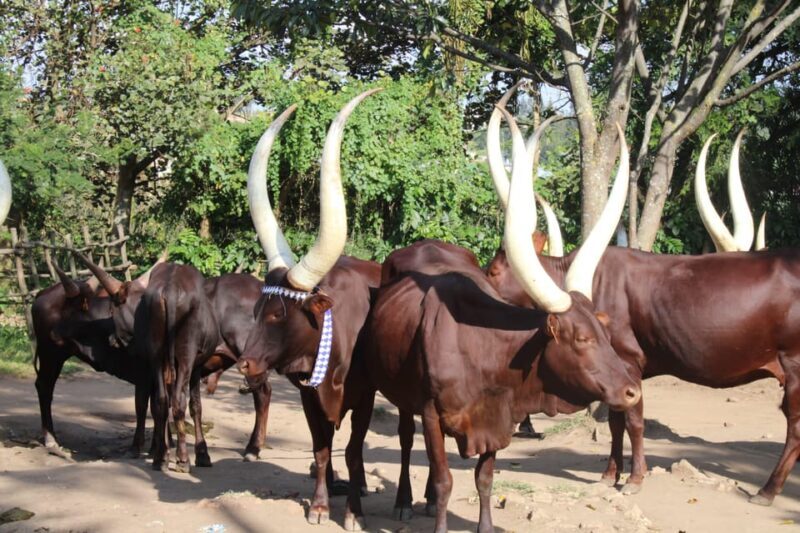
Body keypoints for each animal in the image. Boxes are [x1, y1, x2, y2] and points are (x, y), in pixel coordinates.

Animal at [235, 89, 382, 531]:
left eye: (278, 315)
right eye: (257, 310)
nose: (244, 364)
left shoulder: (364, 397)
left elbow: (354, 450)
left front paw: (352, 511)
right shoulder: (307, 396)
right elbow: (321, 448)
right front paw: (319, 506)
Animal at [363, 109, 640, 532]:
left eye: (604, 332)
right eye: (580, 338)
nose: (632, 391)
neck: (480, 347)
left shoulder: (499, 421)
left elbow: (485, 478)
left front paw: (484, 525)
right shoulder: (431, 412)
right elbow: (444, 478)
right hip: (403, 394)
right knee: (407, 440)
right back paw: (405, 502)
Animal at [485, 98, 800, 506]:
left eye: (494, 270)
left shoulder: (629, 362)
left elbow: (632, 419)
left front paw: (634, 478)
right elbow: (616, 420)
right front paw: (609, 474)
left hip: (795, 366)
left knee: (795, 428)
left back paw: (767, 490)